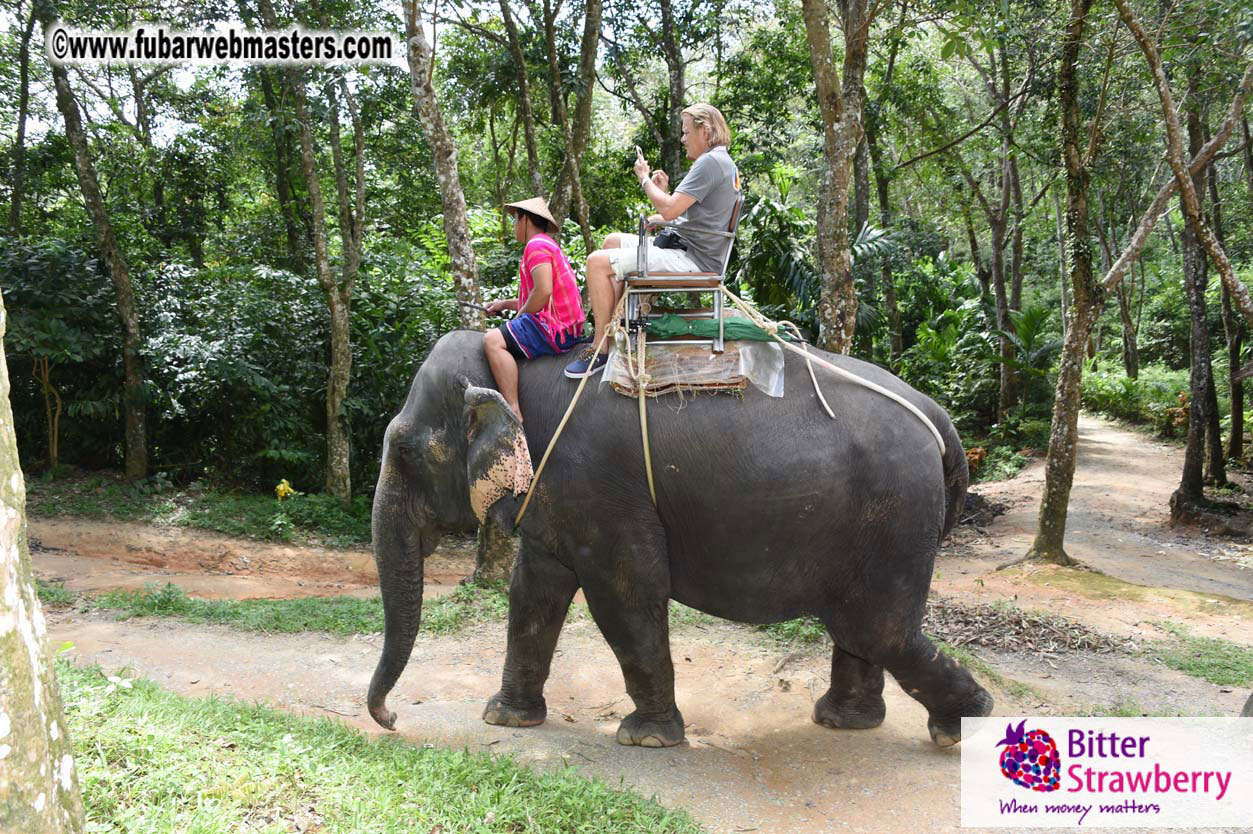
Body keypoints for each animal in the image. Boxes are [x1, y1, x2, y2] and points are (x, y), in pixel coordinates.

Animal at [366, 329, 994, 748]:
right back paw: (843, 721)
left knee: (875, 628)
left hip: (895, 512)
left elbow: (625, 595)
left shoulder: (598, 485)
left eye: (406, 451)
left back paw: (964, 722)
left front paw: (646, 738)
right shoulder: (556, 495)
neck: (513, 374)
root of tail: (938, 417)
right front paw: (505, 718)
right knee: (857, 627)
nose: (392, 720)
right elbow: (532, 593)